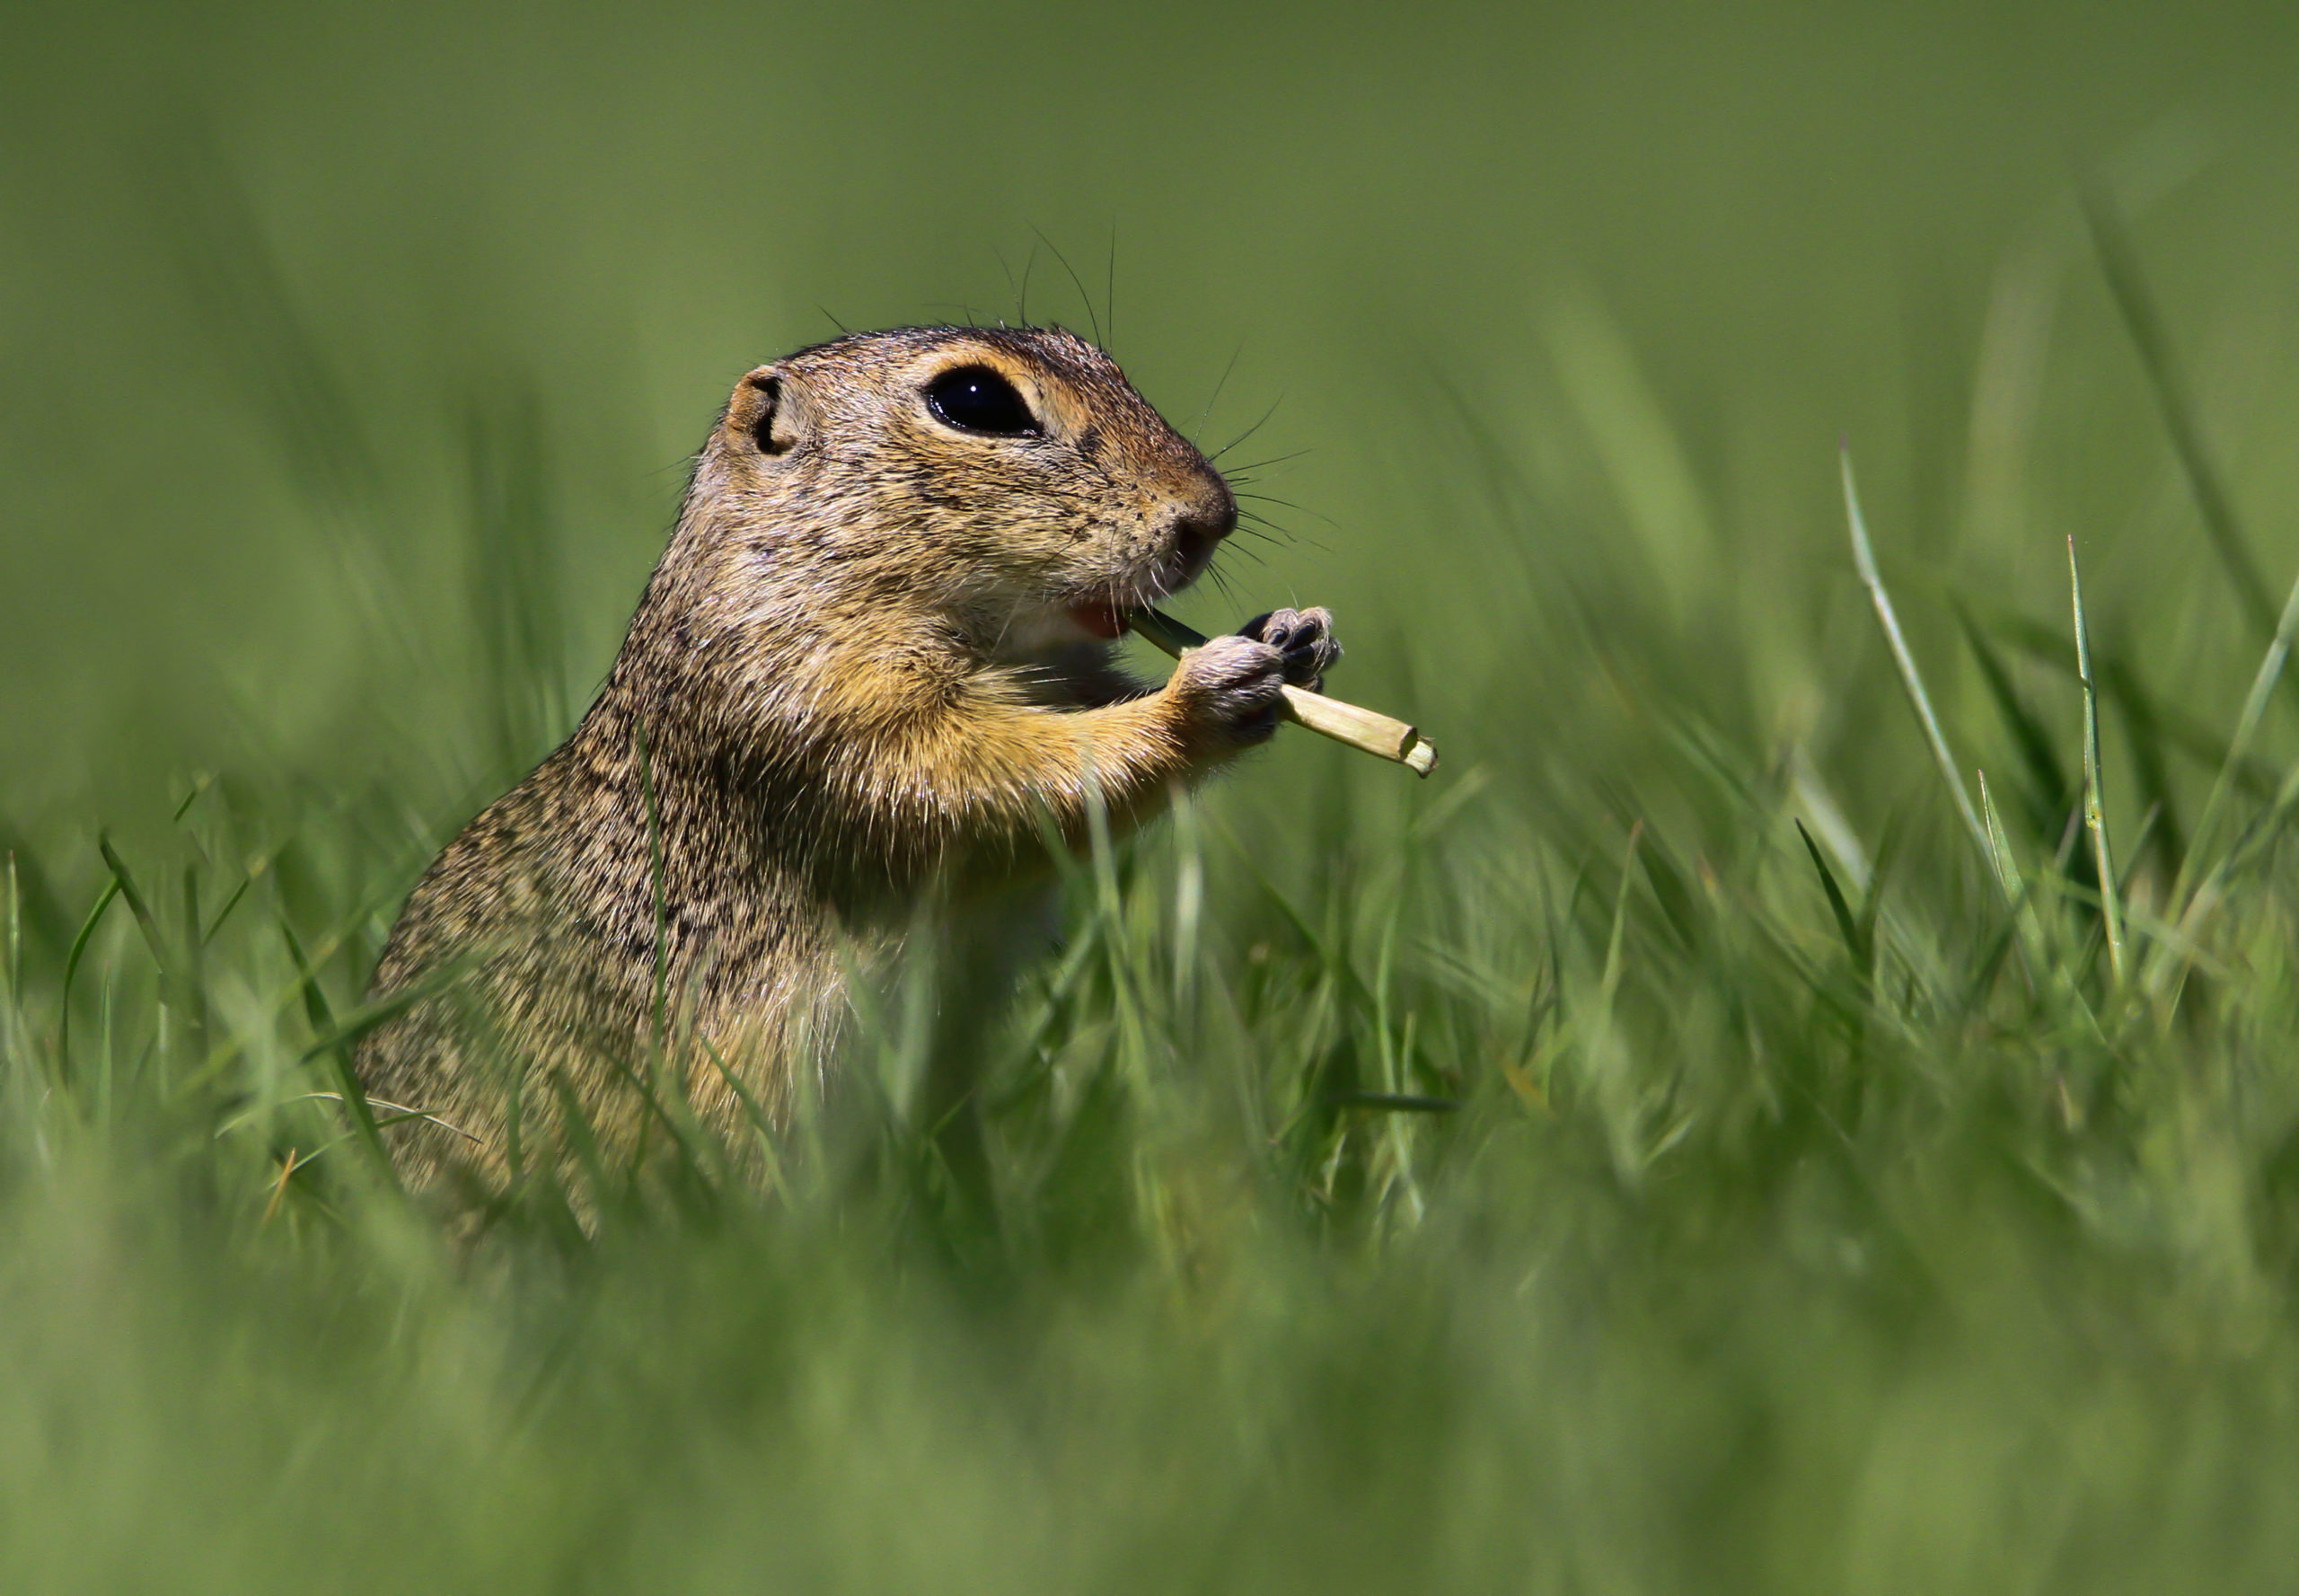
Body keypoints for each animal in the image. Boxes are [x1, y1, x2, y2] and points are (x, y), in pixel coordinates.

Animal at [355, 325, 1339, 1194]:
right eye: (975, 401)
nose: (1212, 518)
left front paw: (1293, 635)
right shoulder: (822, 711)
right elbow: (984, 780)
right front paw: (1206, 693)